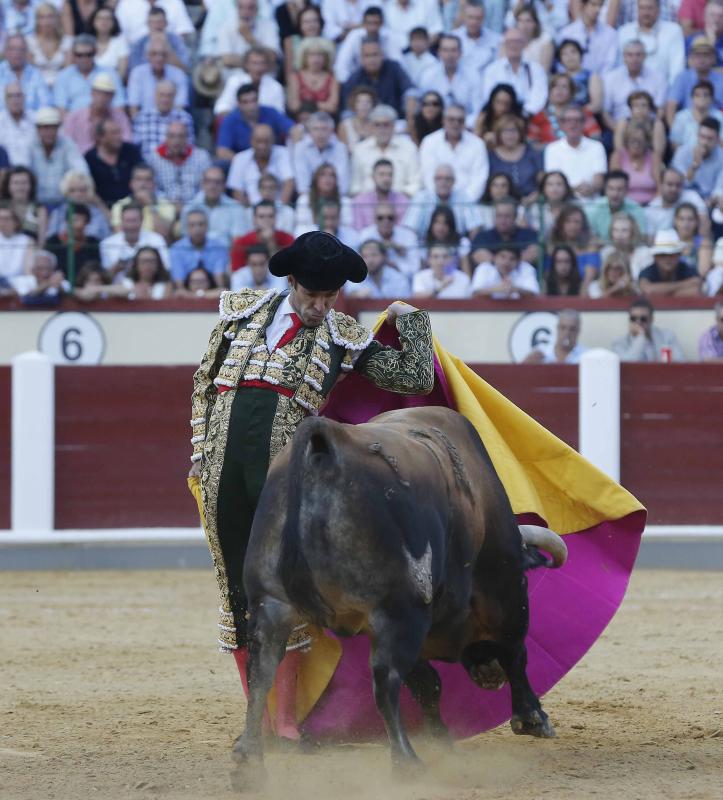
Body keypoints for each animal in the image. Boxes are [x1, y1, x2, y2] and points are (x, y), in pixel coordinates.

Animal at [235, 404, 568, 780]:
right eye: (525, 573)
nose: (488, 676)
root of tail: (326, 443)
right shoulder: (503, 591)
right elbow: (515, 651)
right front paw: (532, 718)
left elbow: (427, 684)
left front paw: (442, 741)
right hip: (398, 610)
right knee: (385, 680)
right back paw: (406, 762)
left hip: (270, 604)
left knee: (262, 674)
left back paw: (249, 763)